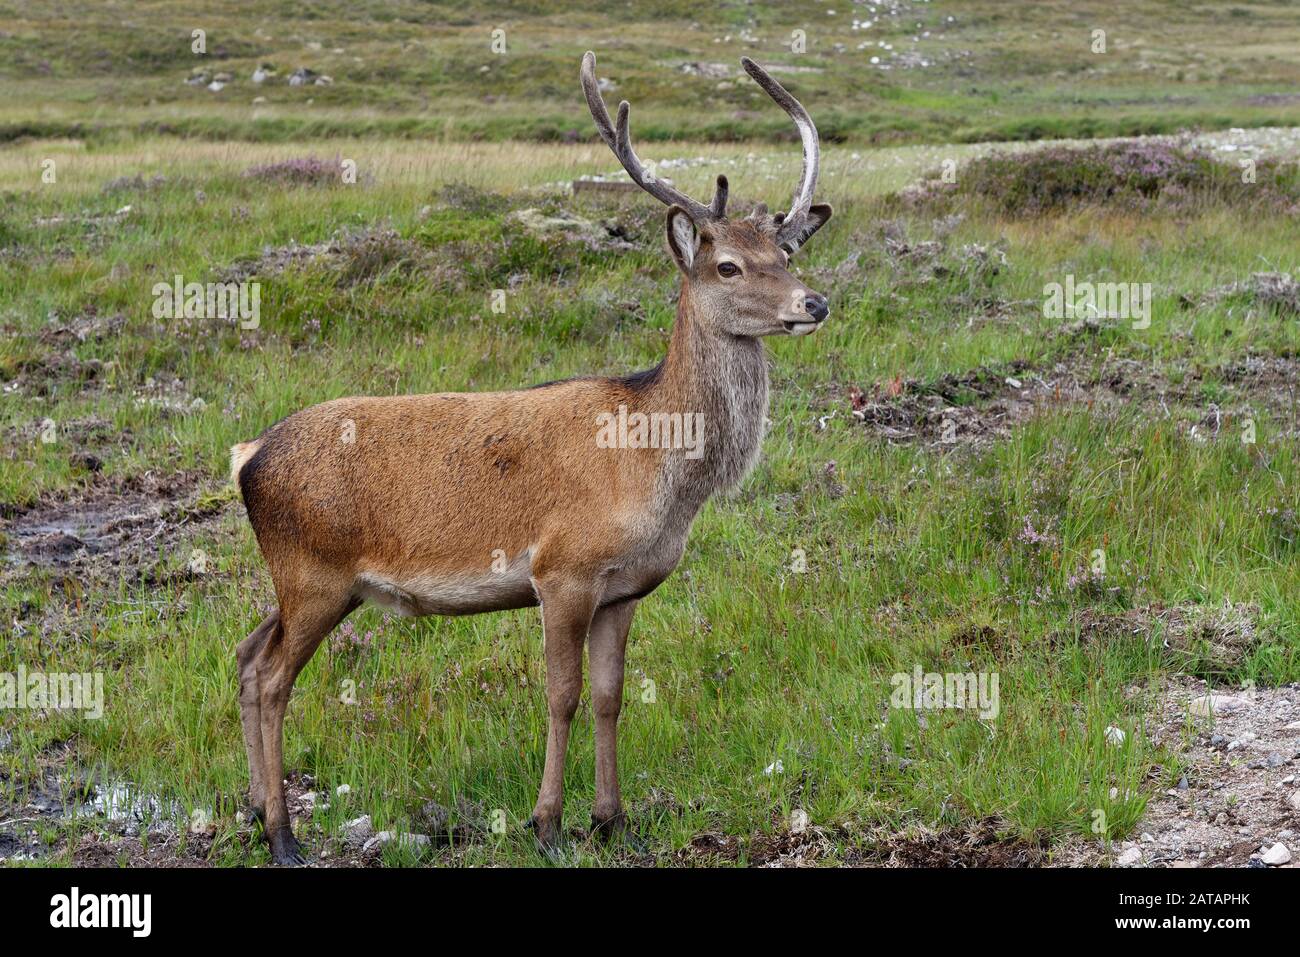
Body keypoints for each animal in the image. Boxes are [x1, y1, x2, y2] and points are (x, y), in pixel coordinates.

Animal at [229, 51, 833, 865]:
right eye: (730, 266)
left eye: (788, 251)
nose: (813, 303)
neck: (657, 470)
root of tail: (248, 455)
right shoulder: (563, 570)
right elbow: (562, 694)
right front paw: (546, 823)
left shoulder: (625, 588)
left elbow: (610, 696)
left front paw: (612, 819)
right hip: (313, 573)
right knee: (268, 676)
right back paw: (283, 833)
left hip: (310, 582)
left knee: (244, 652)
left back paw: (256, 808)